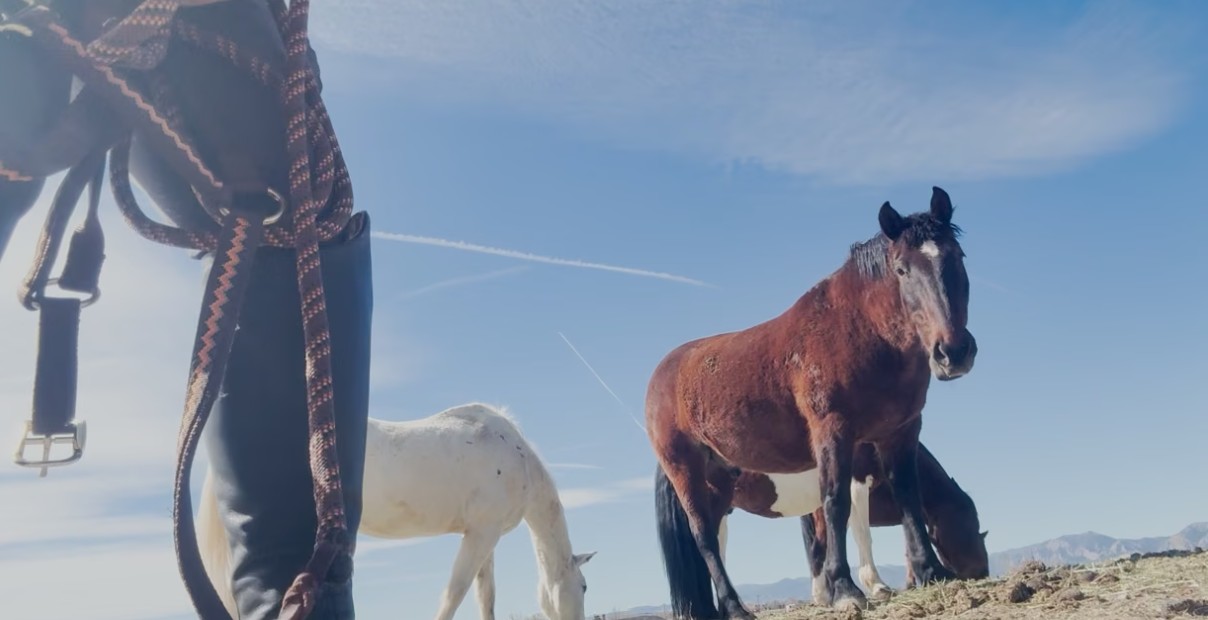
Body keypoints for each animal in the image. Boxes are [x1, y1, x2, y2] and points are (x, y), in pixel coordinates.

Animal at [198, 403, 596, 620]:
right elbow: (454, 595)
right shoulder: (482, 534)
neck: (517, 457)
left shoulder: (483, 536)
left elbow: (485, 599)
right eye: (584, 586)